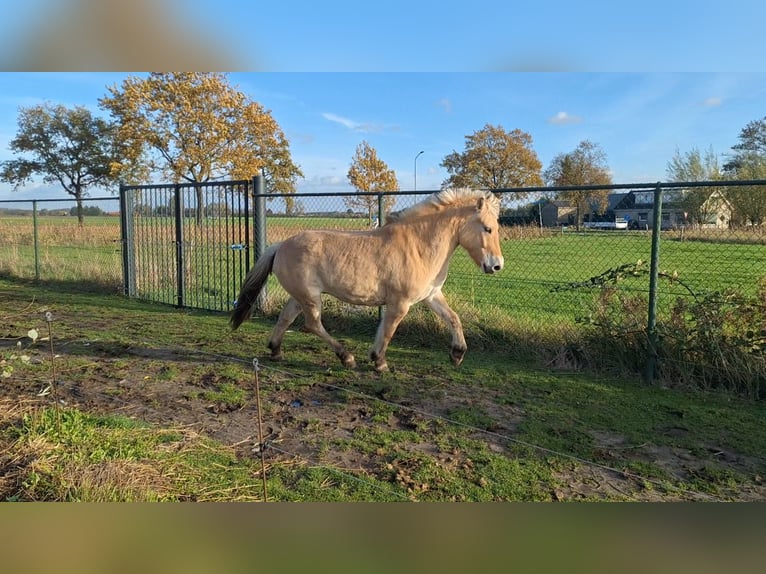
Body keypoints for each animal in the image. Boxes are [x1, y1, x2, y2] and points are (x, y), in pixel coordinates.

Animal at [230, 187, 504, 372]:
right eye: (488, 228)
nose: (497, 265)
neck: (418, 246)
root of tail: (280, 246)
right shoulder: (399, 303)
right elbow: (387, 331)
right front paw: (379, 362)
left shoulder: (431, 295)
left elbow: (453, 319)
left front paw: (457, 354)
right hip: (310, 297)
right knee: (312, 324)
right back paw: (346, 357)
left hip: (300, 296)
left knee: (286, 318)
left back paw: (276, 351)